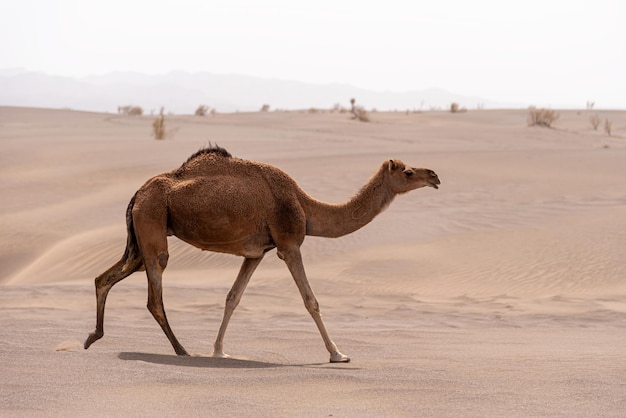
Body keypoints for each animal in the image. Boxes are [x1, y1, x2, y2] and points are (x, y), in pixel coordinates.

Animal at [84, 146, 438, 362]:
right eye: (407, 172)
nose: (434, 176)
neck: (305, 207)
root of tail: (137, 193)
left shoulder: (257, 254)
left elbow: (233, 298)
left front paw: (219, 351)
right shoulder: (289, 244)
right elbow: (311, 300)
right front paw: (338, 354)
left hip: (141, 240)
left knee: (105, 277)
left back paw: (92, 337)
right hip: (153, 226)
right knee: (154, 296)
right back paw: (182, 350)